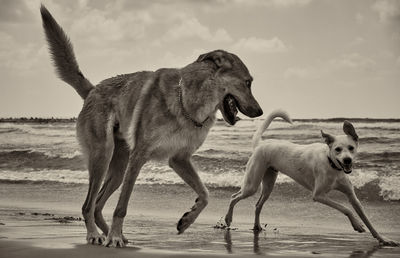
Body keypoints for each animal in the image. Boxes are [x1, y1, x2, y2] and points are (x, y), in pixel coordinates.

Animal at [40, 5, 264, 248]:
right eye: (248, 82)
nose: (260, 112)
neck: (186, 100)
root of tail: (93, 89)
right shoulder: (139, 156)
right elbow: (122, 206)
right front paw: (115, 235)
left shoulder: (179, 159)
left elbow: (205, 194)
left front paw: (187, 219)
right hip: (103, 156)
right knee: (88, 205)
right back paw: (97, 234)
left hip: (119, 168)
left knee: (98, 205)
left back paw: (112, 235)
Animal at [227, 110, 398, 246]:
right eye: (337, 149)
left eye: (351, 148)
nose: (347, 160)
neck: (332, 165)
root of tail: (260, 144)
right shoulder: (319, 195)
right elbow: (346, 208)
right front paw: (357, 224)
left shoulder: (351, 196)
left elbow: (365, 218)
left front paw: (383, 239)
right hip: (252, 184)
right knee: (234, 197)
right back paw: (228, 219)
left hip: (269, 183)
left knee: (257, 205)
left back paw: (256, 226)